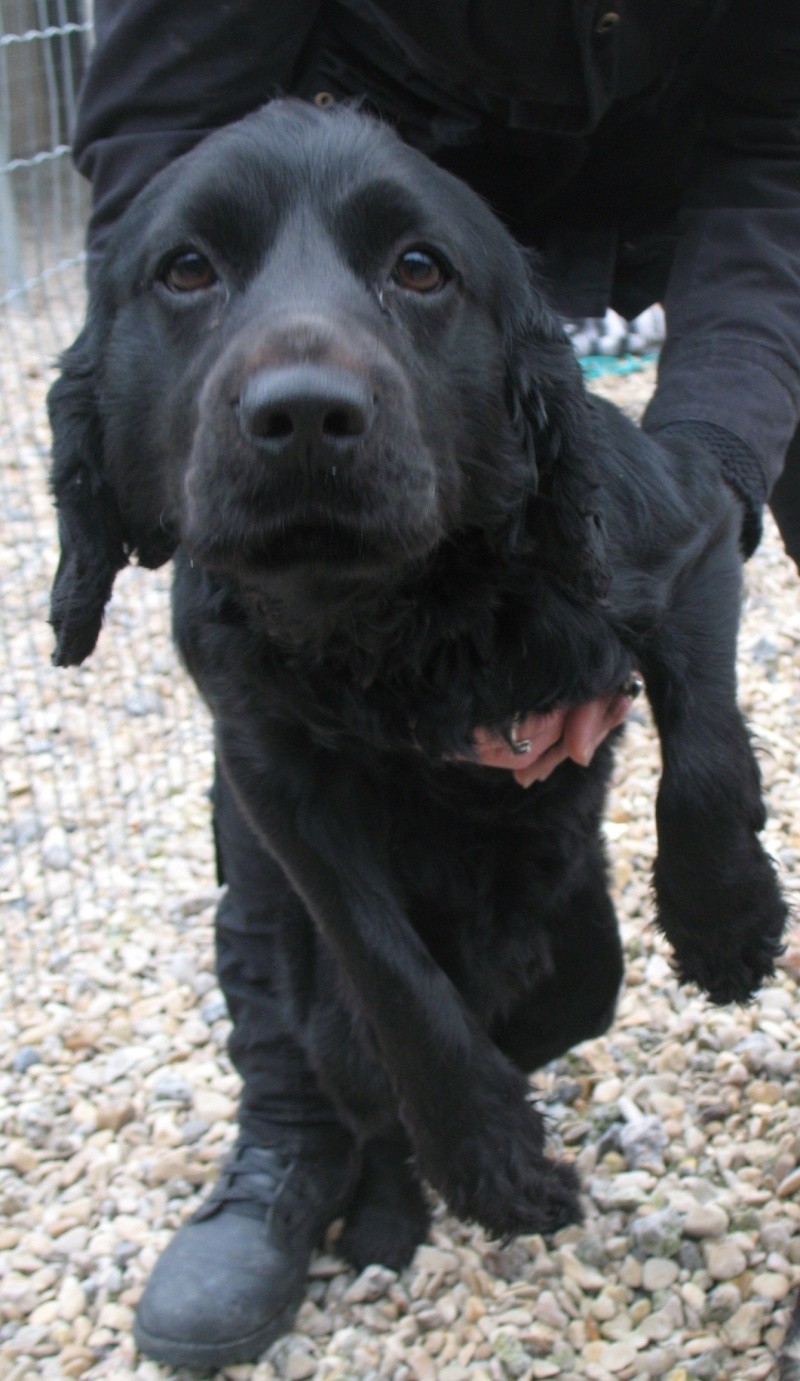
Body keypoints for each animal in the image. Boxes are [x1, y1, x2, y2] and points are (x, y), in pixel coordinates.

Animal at [50, 100, 790, 1264]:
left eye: (419, 268)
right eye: (185, 269)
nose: (304, 415)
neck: (392, 615)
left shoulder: (688, 536)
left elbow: (704, 755)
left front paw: (726, 919)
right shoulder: (268, 762)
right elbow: (393, 978)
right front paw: (487, 1156)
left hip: (583, 966)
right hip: (329, 1018)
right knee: (370, 1104)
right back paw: (387, 1219)